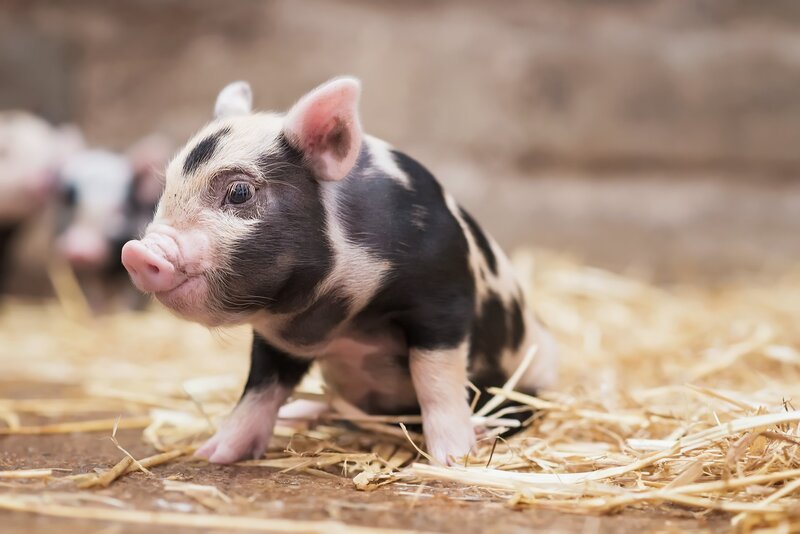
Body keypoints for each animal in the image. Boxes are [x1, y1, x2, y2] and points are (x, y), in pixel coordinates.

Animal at [121, 77, 558, 465]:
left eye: (240, 192)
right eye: (167, 187)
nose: (136, 252)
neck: (341, 316)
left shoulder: (445, 295)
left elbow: (436, 379)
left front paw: (453, 459)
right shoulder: (276, 339)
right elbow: (259, 389)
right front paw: (212, 454)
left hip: (531, 376)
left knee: (518, 409)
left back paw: (483, 429)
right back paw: (298, 414)